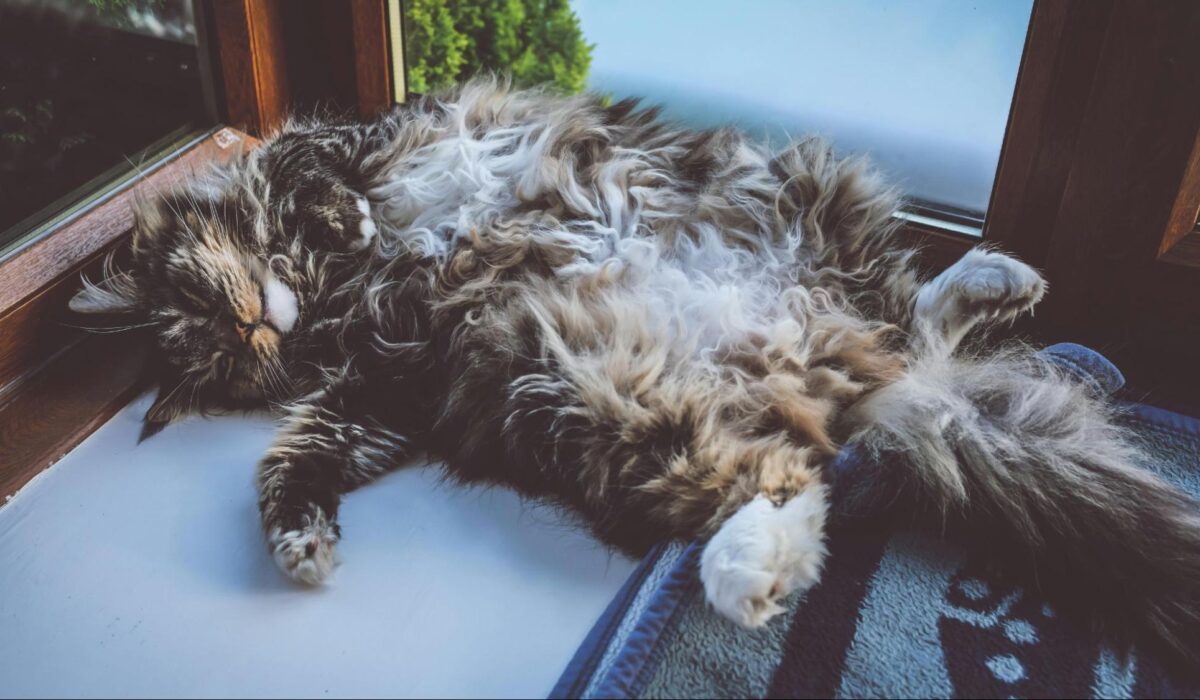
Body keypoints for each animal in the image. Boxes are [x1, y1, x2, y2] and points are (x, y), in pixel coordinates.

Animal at [70, 81, 1200, 662]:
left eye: (213, 308)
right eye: (236, 357)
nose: (258, 325)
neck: (333, 287)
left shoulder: (358, 141)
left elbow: (329, 169)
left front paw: (344, 210)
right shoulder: (385, 388)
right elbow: (288, 459)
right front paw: (300, 547)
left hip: (798, 195)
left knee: (900, 328)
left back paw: (1004, 276)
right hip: (572, 383)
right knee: (795, 469)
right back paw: (754, 575)